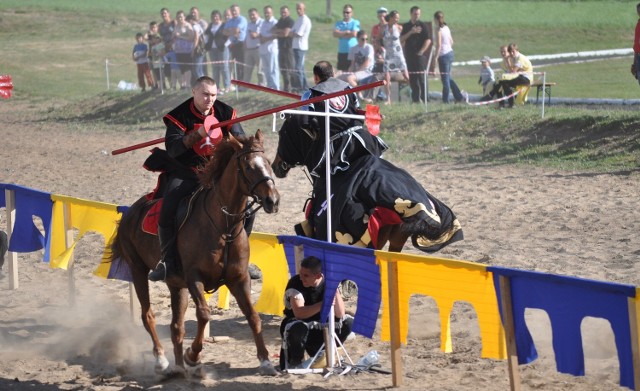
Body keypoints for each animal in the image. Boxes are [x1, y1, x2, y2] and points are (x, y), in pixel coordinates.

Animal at [112, 130, 280, 378]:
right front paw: (193, 355)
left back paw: (178, 367)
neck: (223, 227)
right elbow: (203, 314)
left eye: (268, 163)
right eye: (249, 167)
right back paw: (162, 360)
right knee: (147, 315)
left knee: (176, 326)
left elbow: (253, 316)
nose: (272, 200)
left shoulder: (239, 278)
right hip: (138, 270)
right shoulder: (195, 278)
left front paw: (266, 360)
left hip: (175, 284)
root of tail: (130, 213)